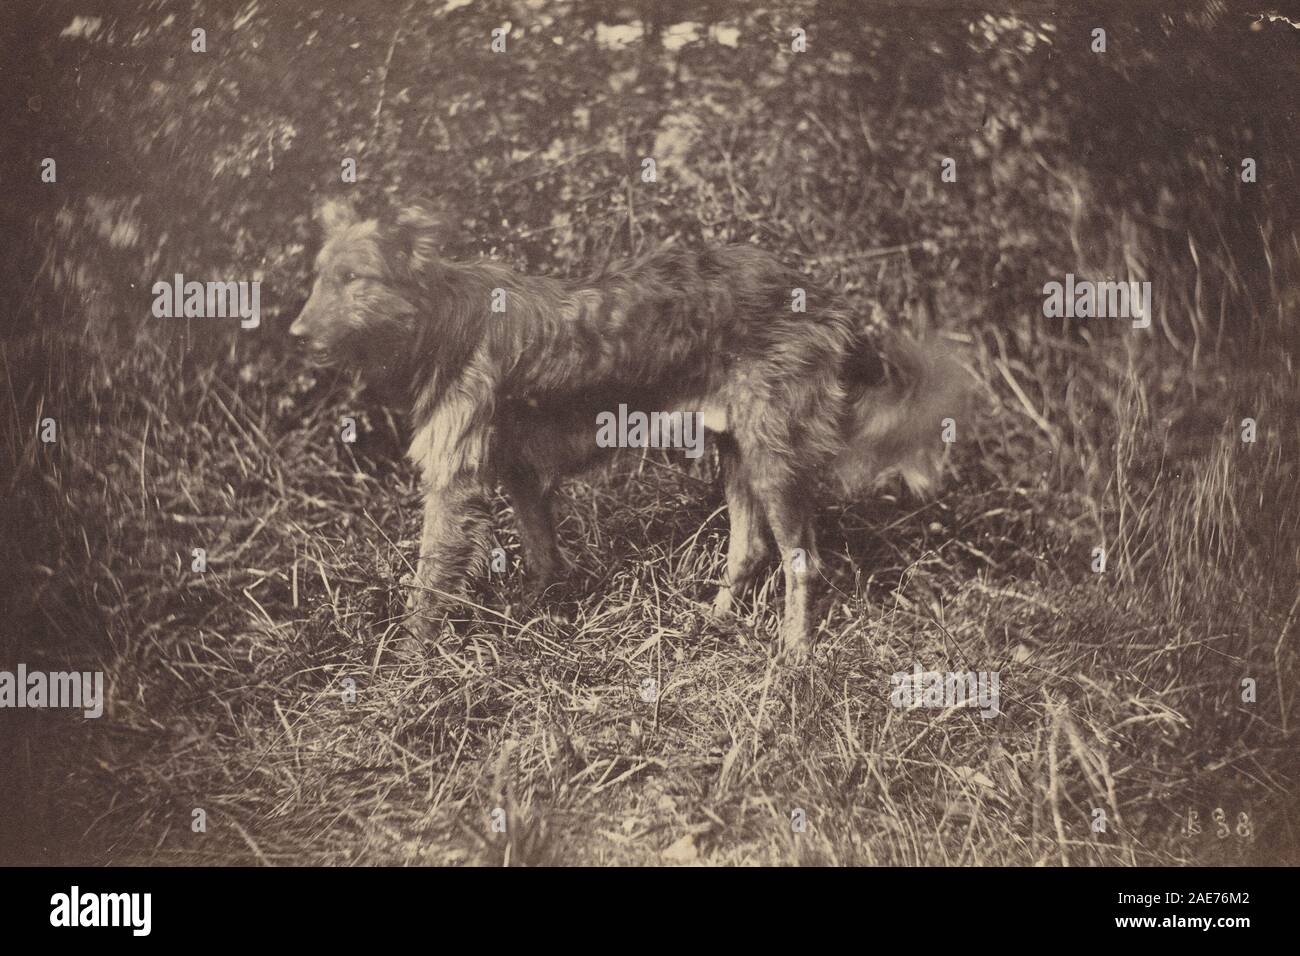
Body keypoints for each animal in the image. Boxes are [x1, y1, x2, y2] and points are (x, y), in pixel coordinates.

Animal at [292, 200, 967, 658]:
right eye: (319, 276)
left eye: (353, 279)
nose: (296, 334)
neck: (439, 319)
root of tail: (822, 298)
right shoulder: (519, 476)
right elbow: (543, 556)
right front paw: (536, 615)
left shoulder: (455, 485)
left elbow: (428, 584)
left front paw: (406, 662)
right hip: (736, 449)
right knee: (749, 548)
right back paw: (713, 622)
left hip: (773, 455)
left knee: (803, 560)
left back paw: (794, 652)